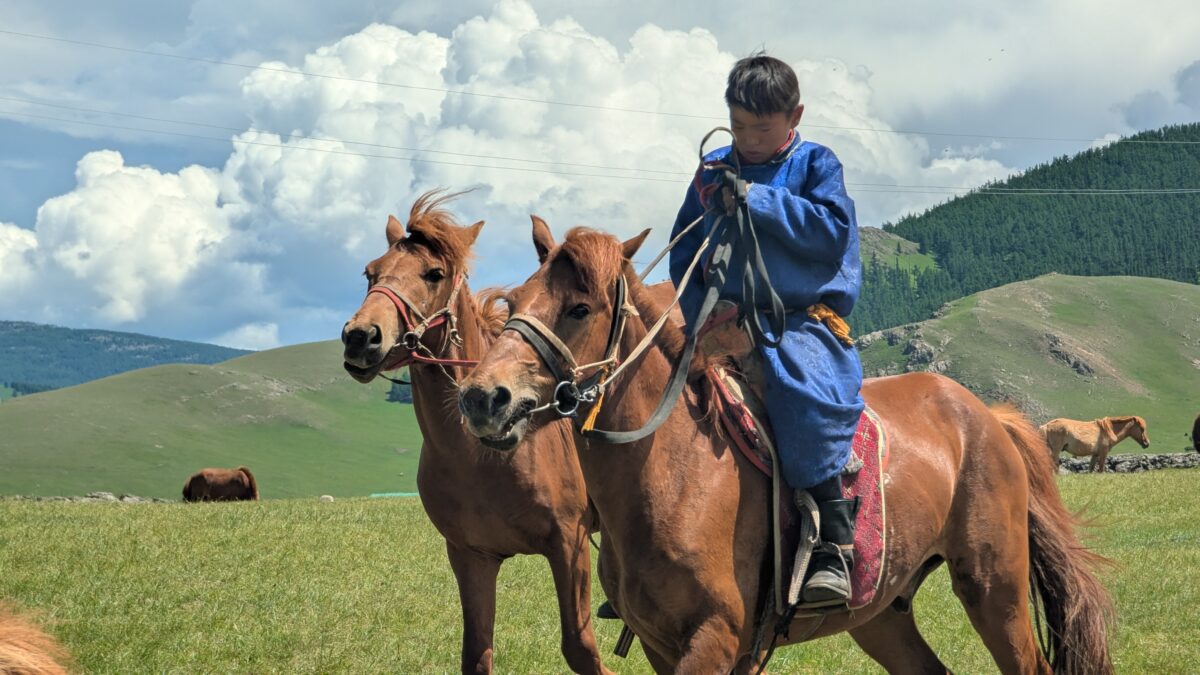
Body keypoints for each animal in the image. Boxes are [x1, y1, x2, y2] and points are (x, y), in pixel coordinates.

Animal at [341, 191, 618, 674]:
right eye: (370, 273)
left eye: (434, 273)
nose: (360, 337)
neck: (480, 456)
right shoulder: (471, 556)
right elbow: (477, 651)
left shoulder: (569, 543)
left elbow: (581, 647)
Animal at [458, 224, 1114, 674]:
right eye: (513, 302)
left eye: (580, 308)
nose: (483, 397)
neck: (672, 473)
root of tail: (986, 417)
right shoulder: (660, 644)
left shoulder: (717, 637)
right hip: (883, 615)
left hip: (994, 590)